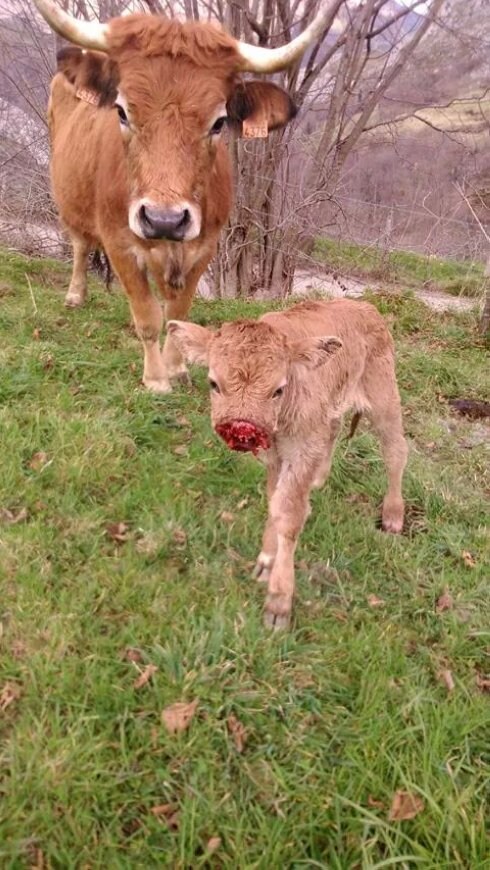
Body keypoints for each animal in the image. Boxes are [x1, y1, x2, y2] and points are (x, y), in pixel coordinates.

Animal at [33, 0, 334, 396]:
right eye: (121, 111)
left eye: (219, 122)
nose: (164, 219)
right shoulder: (118, 242)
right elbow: (147, 314)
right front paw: (157, 378)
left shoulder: (204, 246)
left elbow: (177, 312)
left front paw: (176, 367)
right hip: (72, 204)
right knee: (81, 245)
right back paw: (75, 295)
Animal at [167, 298, 408, 628]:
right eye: (214, 383)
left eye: (277, 390)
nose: (242, 426)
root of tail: (363, 305)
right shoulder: (274, 455)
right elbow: (274, 501)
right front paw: (267, 561)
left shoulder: (300, 451)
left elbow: (289, 513)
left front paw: (279, 600)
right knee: (334, 429)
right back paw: (319, 478)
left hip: (384, 397)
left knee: (395, 450)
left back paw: (393, 515)